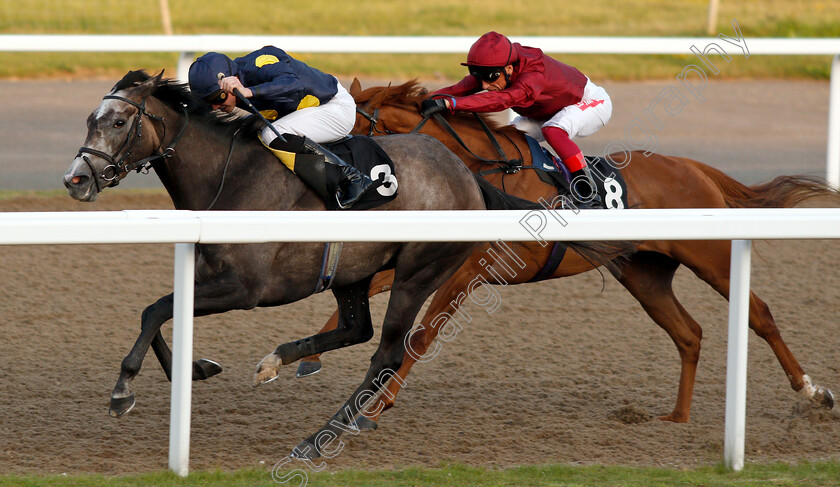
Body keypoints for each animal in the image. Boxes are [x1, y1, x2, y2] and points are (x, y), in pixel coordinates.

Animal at [298, 80, 836, 430]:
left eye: (343, 129)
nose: (335, 184)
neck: (478, 170)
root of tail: (694, 167)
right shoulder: (430, 256)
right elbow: (366, 296)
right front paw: (303, 359)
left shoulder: (466, 273)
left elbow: (421, 336)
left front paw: (375, 406)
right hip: (644, 274)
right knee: (689, 333)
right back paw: (676, 417)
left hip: (713, 257)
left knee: (759, 315)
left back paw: (813, 393)